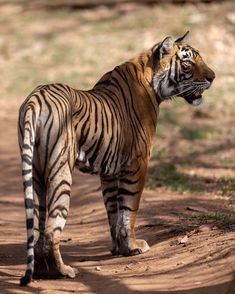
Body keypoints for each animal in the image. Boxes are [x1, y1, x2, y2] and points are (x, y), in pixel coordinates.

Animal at [18, 31, 215, 284]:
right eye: (188, 61)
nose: (213, 77)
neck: (152, 80)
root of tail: (36, 97)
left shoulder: (109, 171)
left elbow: (113, 211)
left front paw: (119, 249)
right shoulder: (138, 163)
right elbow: (130, 209)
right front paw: (133, 246)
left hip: (36, 173)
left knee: (38, 227)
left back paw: (43, 271)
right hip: (59, 172)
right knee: (52, 227)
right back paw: (63, 271)